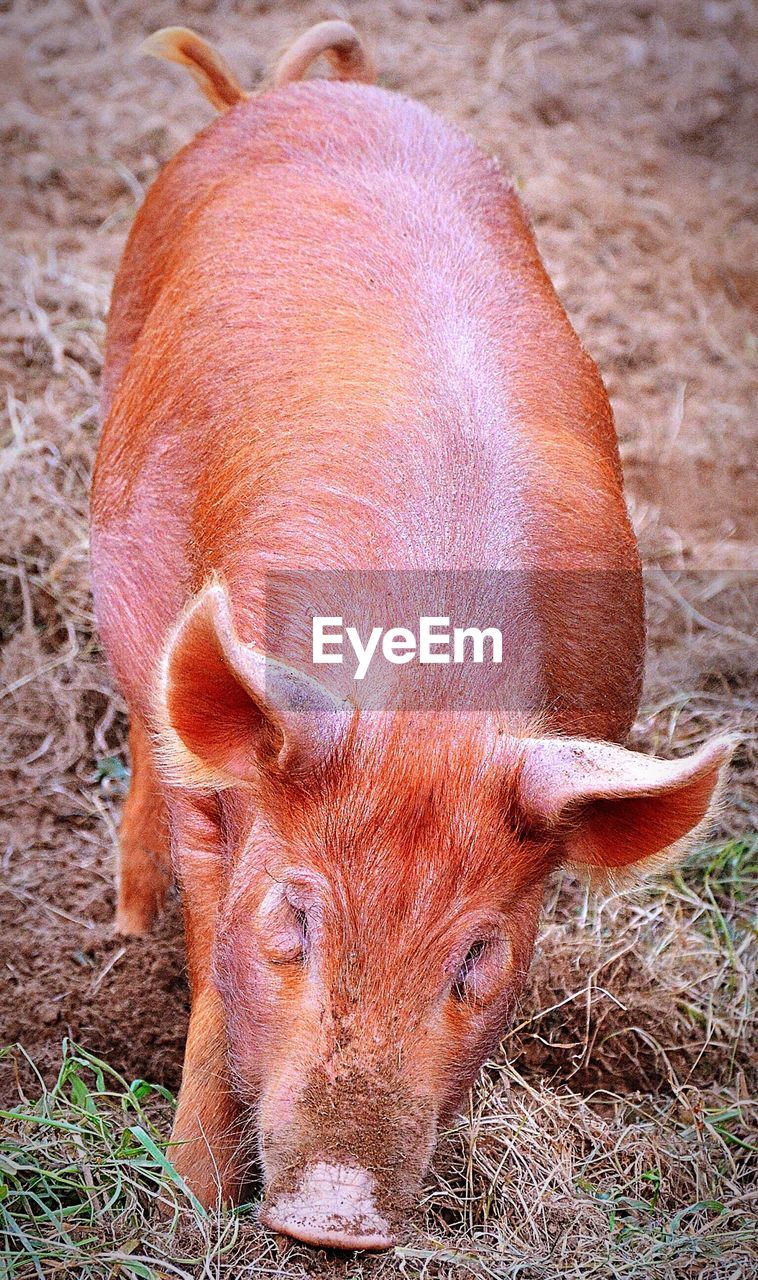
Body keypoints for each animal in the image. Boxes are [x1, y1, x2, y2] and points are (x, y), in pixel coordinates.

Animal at [90, 20, 732, 1249]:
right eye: (293, 915)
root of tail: (305, 93)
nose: (335, 1218)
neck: (431, 705)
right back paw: (122, 925)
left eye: (476, 953)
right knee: (147, 742)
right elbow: (211, 977)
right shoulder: (225, 807)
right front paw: (191, 1202)